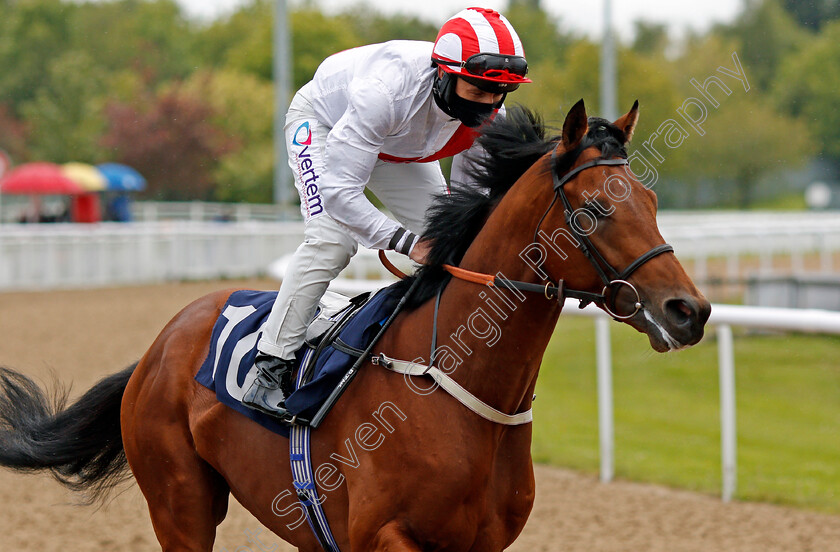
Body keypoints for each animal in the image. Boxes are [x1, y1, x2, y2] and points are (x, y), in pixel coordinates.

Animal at [0, 100, 708, 552]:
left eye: (650, 201)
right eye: (594, 209)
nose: (690, 311)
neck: (455, 386)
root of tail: (160, 343)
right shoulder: (382, 535)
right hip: (181, 504)